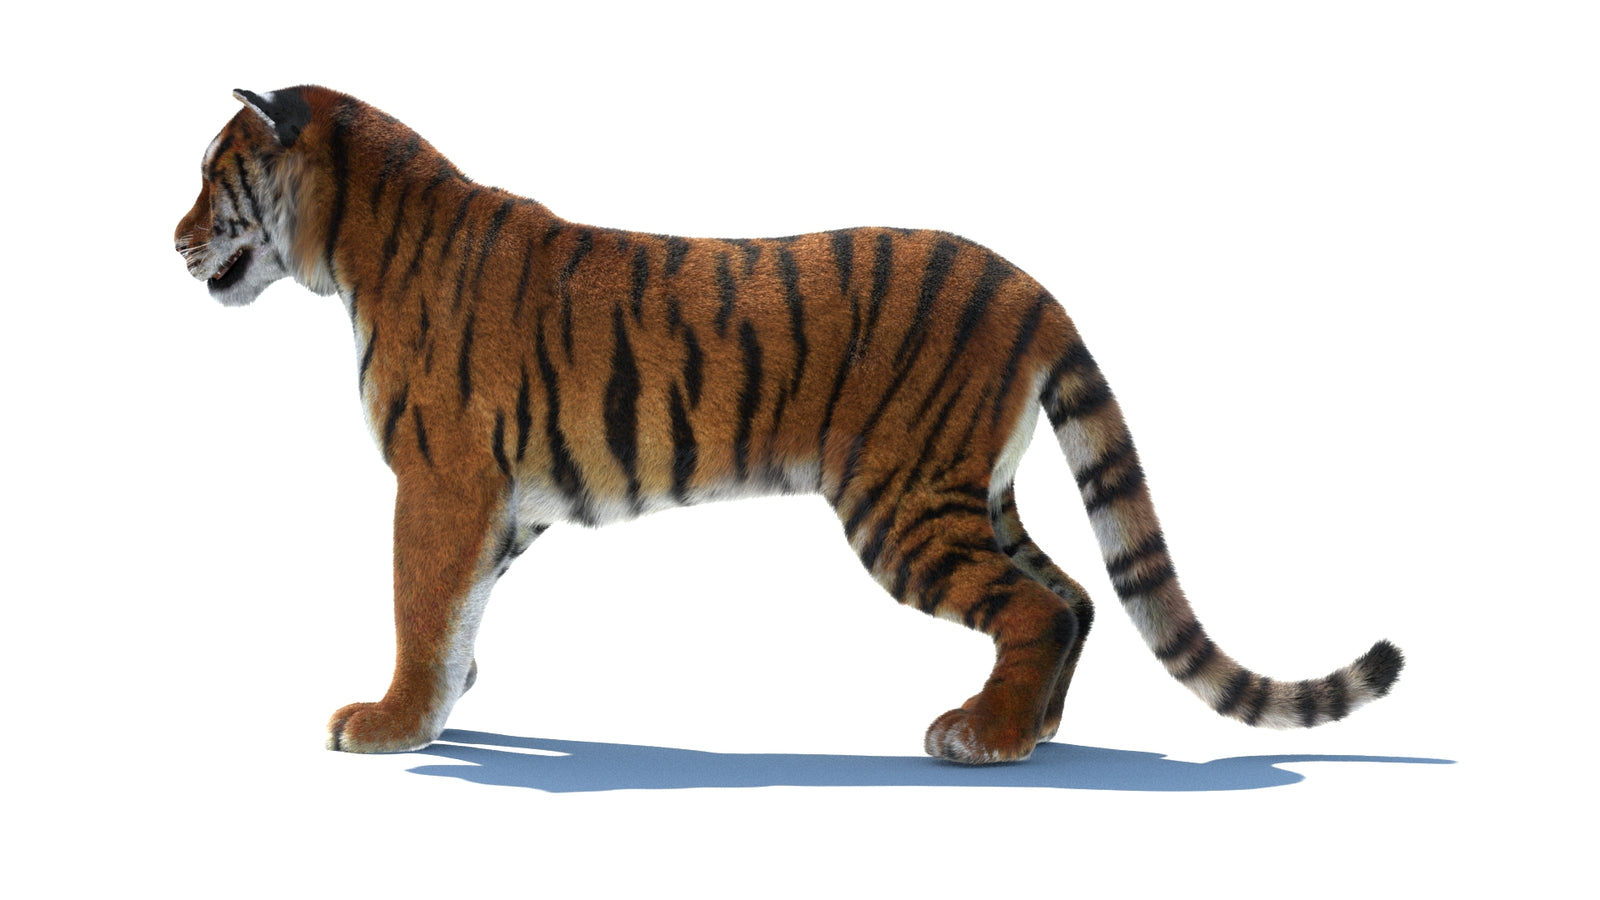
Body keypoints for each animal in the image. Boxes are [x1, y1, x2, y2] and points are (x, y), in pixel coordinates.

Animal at [173, 85, 1403, 764]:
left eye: (209, 175)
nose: (172, 239)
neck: (349, 242)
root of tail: (1030, 286)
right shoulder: (501, 499)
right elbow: (461, 605)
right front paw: (445, 705)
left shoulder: (441, 478)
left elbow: (418, 600)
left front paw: (387, 721)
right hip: (971, 489)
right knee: (1077, 594)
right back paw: (1033, 726)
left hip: (900, 503)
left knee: (1039, 606)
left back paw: (986, 740)